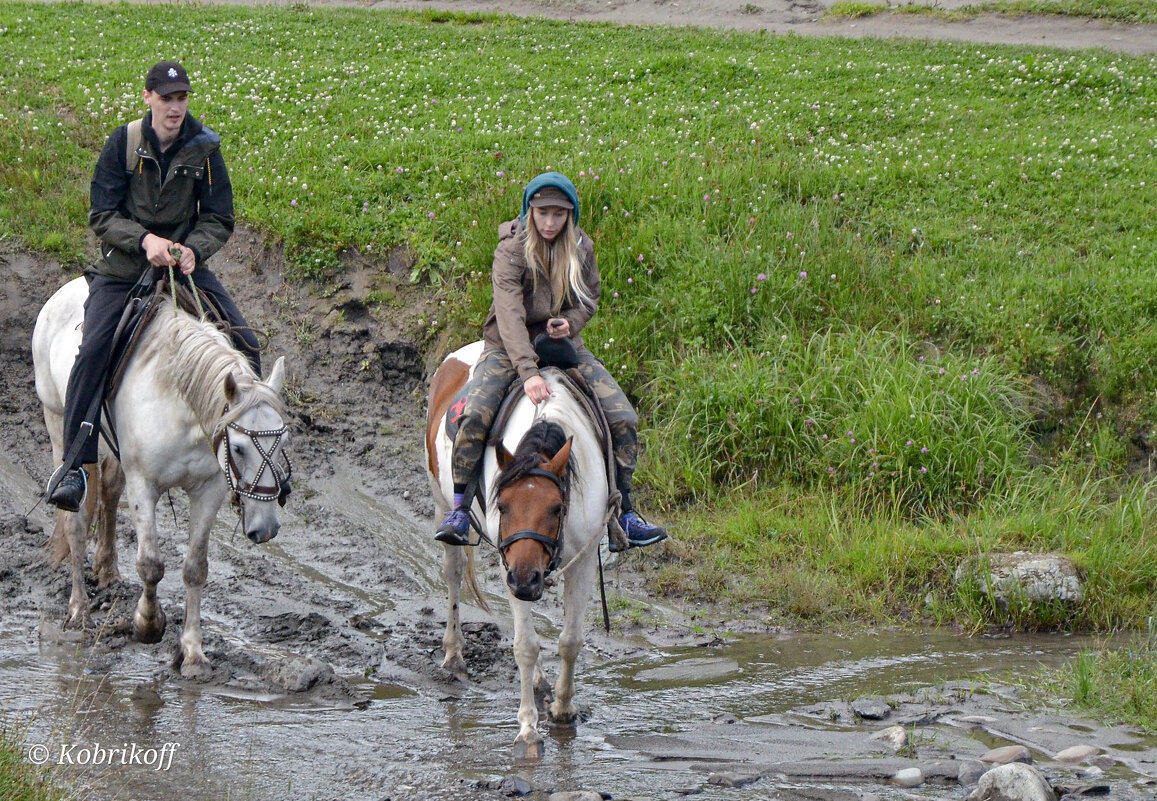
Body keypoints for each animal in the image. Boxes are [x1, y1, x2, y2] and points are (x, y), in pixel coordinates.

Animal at [35, 278, 291, 680]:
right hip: (57, 421)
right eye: (237, 448)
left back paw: (108, 572)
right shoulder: (145, 485)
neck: (181, 406)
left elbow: (195, 569)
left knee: (109, 492)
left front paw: (193, 653)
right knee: (75, 521)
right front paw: (147, 625)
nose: (265, 528)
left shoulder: (209, 490)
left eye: (284, 440)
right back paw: (79, 611)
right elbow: (151, 565)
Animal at [423, 337, 606, 759]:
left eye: (556, 507)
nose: (524, 581)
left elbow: (570, 641)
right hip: (442, 503)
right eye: (502, 505)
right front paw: (527, 730)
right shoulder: (514, 564)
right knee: (453, 574)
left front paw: (563, 708)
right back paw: (453, 654)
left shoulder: (582, 558)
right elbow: (524, 646)